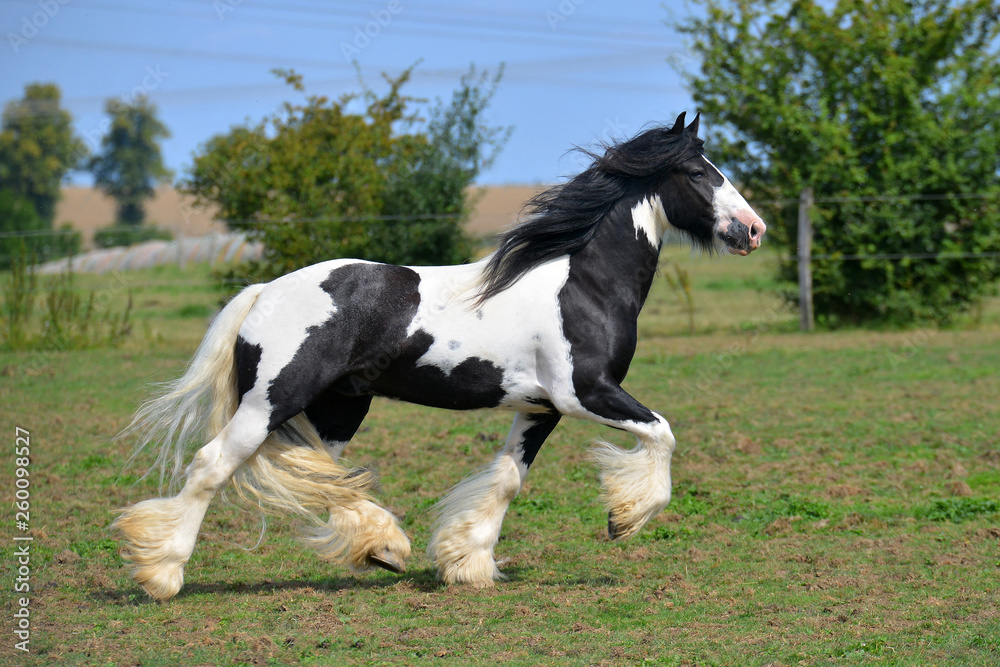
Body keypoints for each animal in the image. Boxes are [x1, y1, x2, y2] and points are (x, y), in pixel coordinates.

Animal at [115, 112, 764, 604]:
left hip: (339, 408)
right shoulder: (585, 393)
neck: (582, 283)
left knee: (326, 477)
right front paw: (624, 517)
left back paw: (384, 547)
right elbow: (663, 432)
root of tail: (263, 292)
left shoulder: (541, 407)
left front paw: (467, 562)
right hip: (271, 401)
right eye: (697, 173)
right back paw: (162, 574)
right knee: (212, 465)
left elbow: (507, 479)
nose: (752, 230)